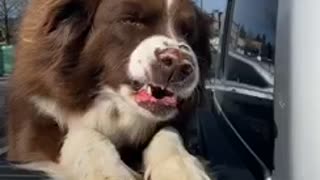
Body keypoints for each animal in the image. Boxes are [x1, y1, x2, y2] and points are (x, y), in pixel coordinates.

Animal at [6, 0, 212, 179]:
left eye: (188, 33)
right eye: (130, 20)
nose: (179, 65)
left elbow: (169, 133)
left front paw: (183, 170)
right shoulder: (34, 125)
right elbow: (83, 133)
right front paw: (110, 172)